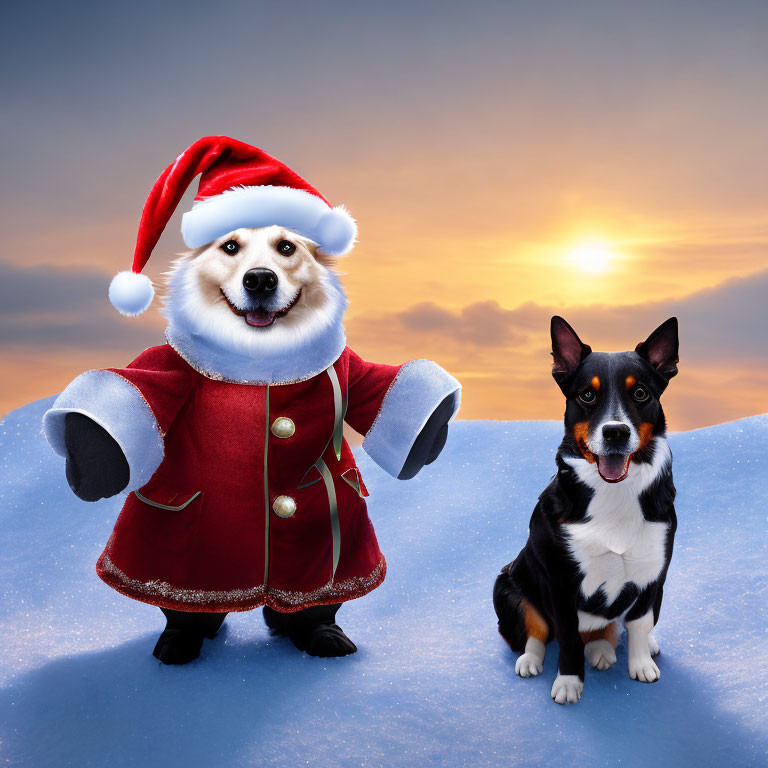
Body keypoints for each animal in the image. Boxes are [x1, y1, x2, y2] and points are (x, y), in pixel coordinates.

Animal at [492, 316, 680, 704]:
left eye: (641, 393)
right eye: (587, 395)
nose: (615, 432)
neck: (614, 492)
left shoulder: (653, 573)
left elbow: (639, 621)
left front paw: (641, 663)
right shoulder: (560, 581)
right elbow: (565, 636)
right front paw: (568, 681)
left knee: (609, 630)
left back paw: (607, 650)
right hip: (507, 585)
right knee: (536, 630)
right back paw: (532, 659)